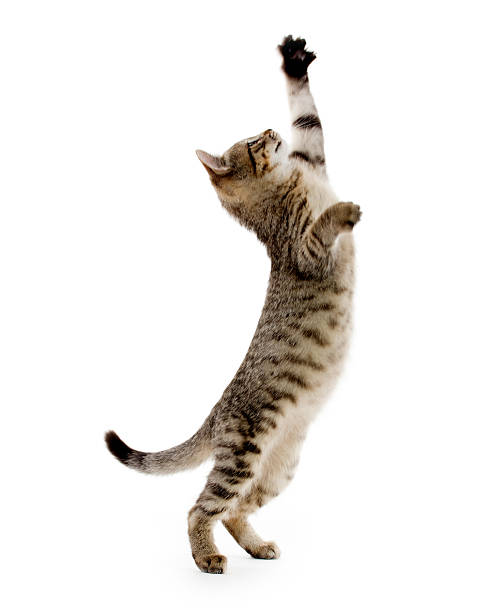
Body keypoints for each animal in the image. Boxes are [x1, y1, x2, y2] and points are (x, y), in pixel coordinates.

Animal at [105, 35, 362, 572]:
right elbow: (324, 224)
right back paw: (207, 558)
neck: (289, 183)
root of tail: (217, 411)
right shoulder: (305, 250)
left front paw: (294, 61)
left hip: (281, 466)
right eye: (251, 143)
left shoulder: (312, 154)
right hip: (245, 450)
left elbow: (308, 117)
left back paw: (258, 546)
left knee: (236, 510)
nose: (268, 129)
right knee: (201, 508)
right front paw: (344, 210)